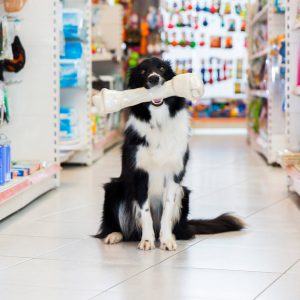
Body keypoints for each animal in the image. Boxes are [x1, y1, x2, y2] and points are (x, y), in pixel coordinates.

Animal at [95, 57, 245, 250]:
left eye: (161, 68)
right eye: (143, 72)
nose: (154, 79)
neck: (159, 121)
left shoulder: (174, 175)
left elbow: (167, 209)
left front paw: (166, 239)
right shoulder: (140, 174)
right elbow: (145, 212)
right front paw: (147, 240)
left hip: (184, 192)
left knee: (181, 230)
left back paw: (173, 234)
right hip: (114, 188)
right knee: (121, 227)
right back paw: (114, 235)